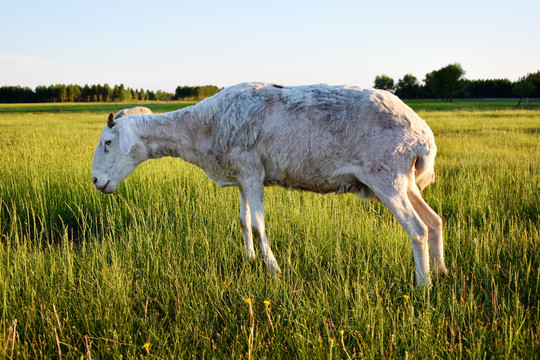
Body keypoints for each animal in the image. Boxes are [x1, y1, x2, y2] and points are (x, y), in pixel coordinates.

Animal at [92, 82, 448, 286]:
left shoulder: (251, 172)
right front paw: (249, 260)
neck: (202, 127)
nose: (96, 181)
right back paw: (442, 272)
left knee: (416, 229)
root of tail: (423, 136)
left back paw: (422, 286)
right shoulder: (241, 175)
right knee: (434, 221)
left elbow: (259, 225)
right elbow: (244, 221)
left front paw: (274, 271)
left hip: (386, 176)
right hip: (404, 179)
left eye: (108, 142)